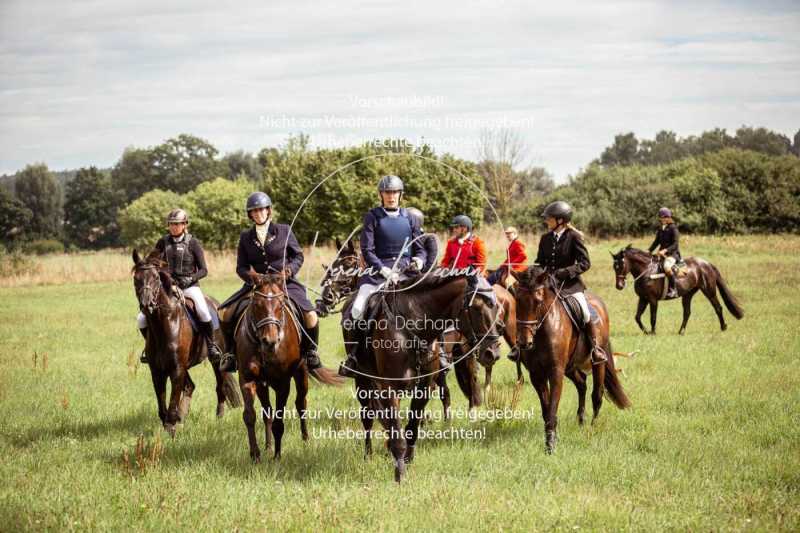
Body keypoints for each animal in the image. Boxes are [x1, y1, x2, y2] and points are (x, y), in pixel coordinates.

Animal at [131, 249, 241, 436]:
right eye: (136, 279)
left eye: (156, 278)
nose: (147, 305)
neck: (164, 324)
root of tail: (216, 304)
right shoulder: (158, 370)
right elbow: (162, 403)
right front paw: (171, 423)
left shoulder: (176, 369)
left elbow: (173, 400)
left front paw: (170, 428)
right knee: (190, 386)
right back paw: (182, 416)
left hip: (216, 360)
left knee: (220, 385)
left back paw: (218, 416)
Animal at [234, 270, 340, 462]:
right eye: (257, 304)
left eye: (281, 304)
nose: (270, 341)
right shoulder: (247, 379)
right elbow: (250, 416)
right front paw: (256, 455)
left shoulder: (283, 383)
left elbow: (279, 420)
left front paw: (277, 457)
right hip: (262, 384)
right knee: (267, 412)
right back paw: (268, 447)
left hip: (301, 373)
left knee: (301, 404)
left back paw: (305, 440)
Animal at [348, 272, 500, 480]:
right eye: (476, 308)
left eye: (496, 307)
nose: (493, 354)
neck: (412, 330)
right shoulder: (390, 388)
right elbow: (396, 431)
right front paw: (399, 475)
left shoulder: (425, 386)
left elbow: (412, 427)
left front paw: (407, 460)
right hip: (362, 381)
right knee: (368, 417)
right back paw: (368, 455)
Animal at [510, 266, 628, 454]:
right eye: (517, 300)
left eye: (538, 301)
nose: (524, 342)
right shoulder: (536, 375)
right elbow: (546, 409)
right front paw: (551, 438)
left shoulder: (556, 372)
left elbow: (552, 408)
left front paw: (550, 445)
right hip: (571, 367)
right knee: (582, 384)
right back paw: (580, 421)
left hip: (597, 363)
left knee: (597, 395)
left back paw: (592, 428)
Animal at [612, 244, 744, 334]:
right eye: (614, 267)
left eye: (621, 265)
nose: (619, 286)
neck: (647, 270)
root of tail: (707, 264)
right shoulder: (643, 298)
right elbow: (637, 317)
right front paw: (646, 331)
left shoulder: (652, 300)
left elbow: (652, 317)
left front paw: (652, 332)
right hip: (688, 294)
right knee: (687, 312)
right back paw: (681, 331)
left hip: (709, 291)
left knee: (718, 307)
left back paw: (723, 327)